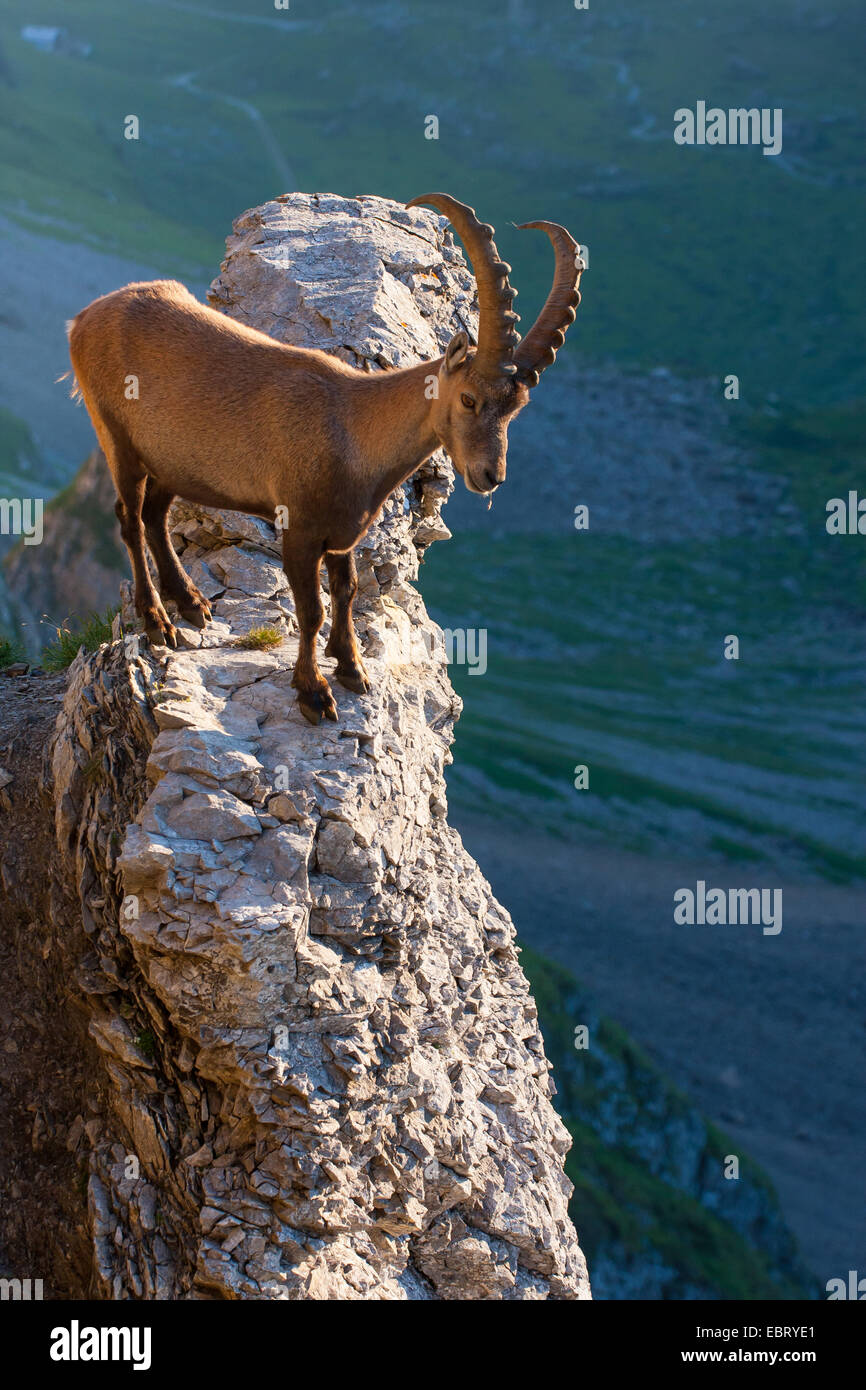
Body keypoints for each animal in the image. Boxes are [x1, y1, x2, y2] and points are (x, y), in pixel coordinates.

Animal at [67, 193, 584, 724]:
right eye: (468, 399)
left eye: (516, 408)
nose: (489, 476)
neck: (351, 428)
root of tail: (85, 318)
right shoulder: (297, 528)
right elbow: (311, 610)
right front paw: (313, 691)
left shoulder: (344, 532)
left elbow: (348, 589)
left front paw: (352, 666)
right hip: (117, 437)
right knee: (129, 519)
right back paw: (157, 621)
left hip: (173, 461)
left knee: (155, 515)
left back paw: (190, 600)